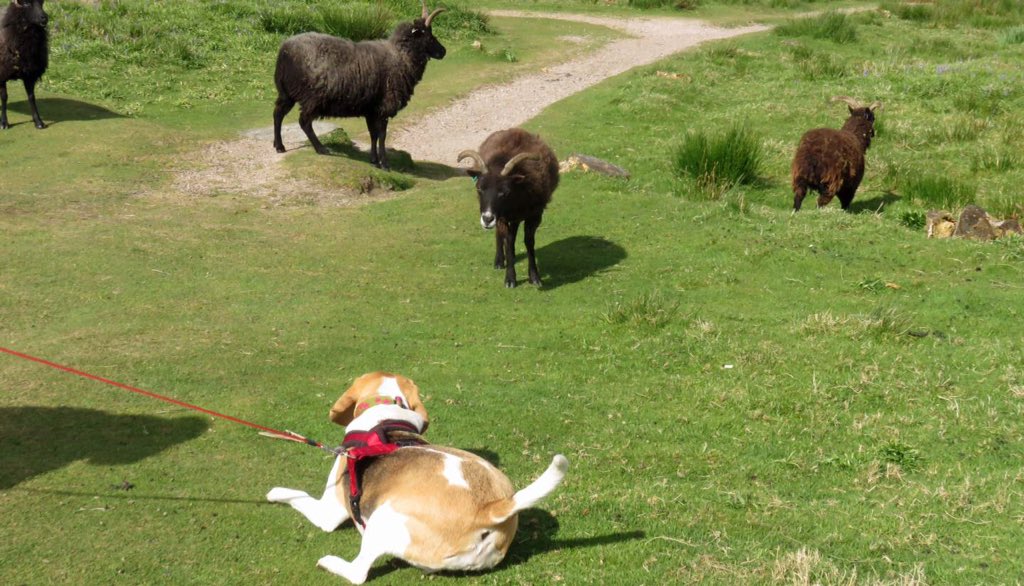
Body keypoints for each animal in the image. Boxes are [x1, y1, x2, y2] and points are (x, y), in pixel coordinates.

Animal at [0, 0, 48, 130]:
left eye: (42, 3)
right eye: (26, 3)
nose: (45, 18)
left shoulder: (29, 73)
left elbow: (31, 97)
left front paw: (38, 122)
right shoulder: (2, 73)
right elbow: (4, 97)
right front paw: (4, 122)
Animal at [272, 1, 447, 170]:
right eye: (429, 37)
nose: (443, 51)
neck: (401, 56)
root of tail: (284, 50)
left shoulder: (371, 109)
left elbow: (373, 135)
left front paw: (374, 160)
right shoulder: (384, 107)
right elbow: (382, 136)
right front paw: (385, 163)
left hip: (286, 92)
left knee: (278, 113)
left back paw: (279, 146)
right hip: (312, 97)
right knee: (304, 121)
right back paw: (320, 148)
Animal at [458, 128, 559, 289]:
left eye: (504, 192)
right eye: (479, 188)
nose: (487, 219)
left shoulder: (535, 215)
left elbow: (529, 242)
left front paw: (535, 277)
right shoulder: (501, 217)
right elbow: (508, 242)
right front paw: (510, 279)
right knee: (502, 236)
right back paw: (499, 261)